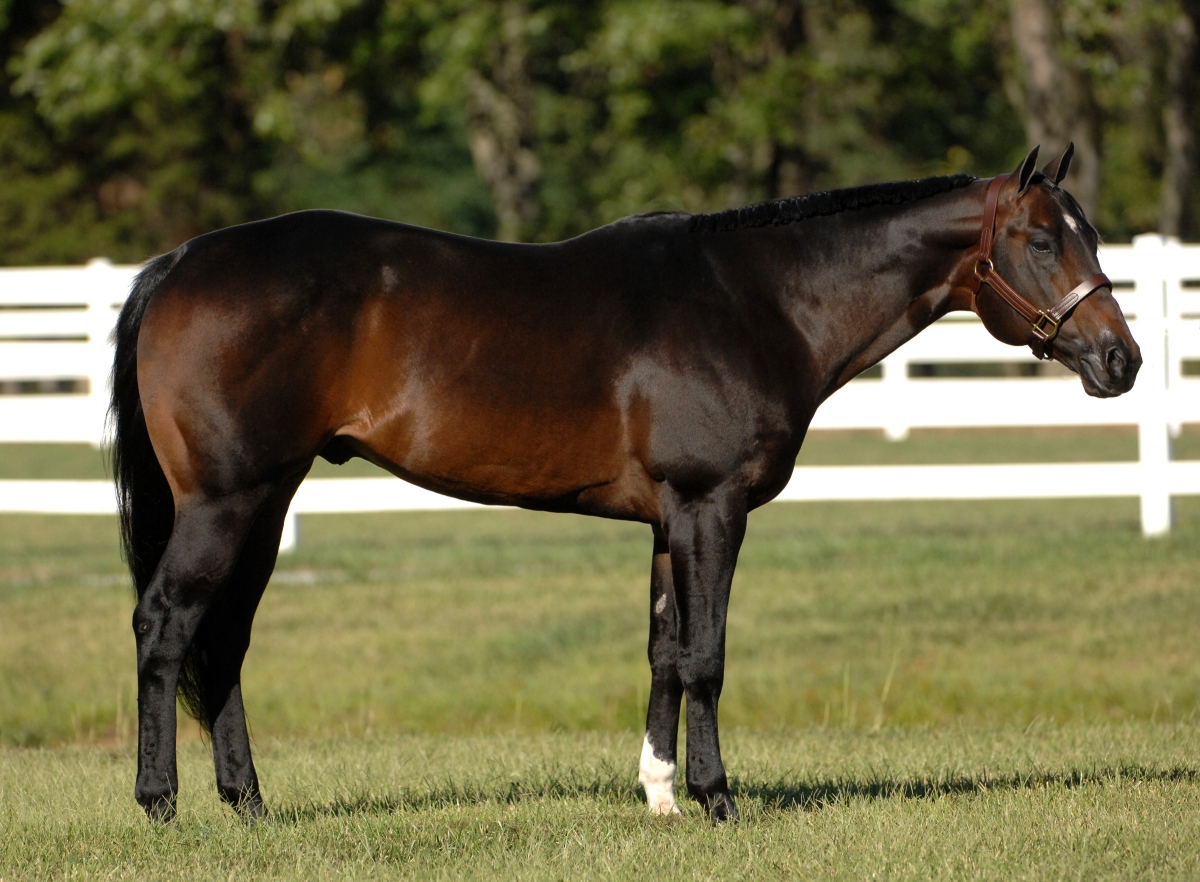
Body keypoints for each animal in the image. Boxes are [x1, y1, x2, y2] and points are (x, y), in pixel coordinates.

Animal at [110, 144, 1138, 824]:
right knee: (166, 624)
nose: (1120, 360)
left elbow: (663, 654)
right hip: (225, 502)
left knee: (225, 640)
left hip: (265, 500)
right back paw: (160, 805)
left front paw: (659, 795)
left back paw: (248, 805)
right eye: (1042, 240)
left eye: (1086, 237)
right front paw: (718, 800)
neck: (760, 300)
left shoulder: (666, 522)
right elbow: (707, 655)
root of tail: (179, 263)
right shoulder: (711, 509)